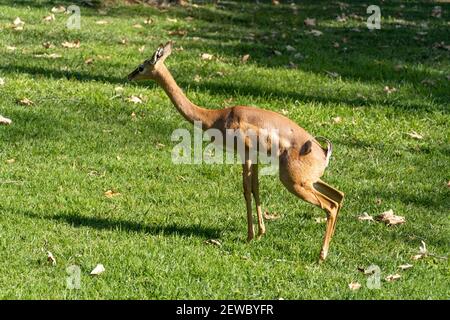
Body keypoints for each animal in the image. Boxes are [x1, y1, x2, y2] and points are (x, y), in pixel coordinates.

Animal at [127, 41, 344, 262]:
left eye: (141, 67)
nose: (129, 76)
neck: (216, 117)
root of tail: (324, 152)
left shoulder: (244, 154)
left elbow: (246, 190)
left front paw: (249, 236)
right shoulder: (254, 157)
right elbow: (256, 189)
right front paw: (260, 233)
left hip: (294, 182)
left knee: (330, 206)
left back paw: (321, 255)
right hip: (310, 181)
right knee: (339, 196)